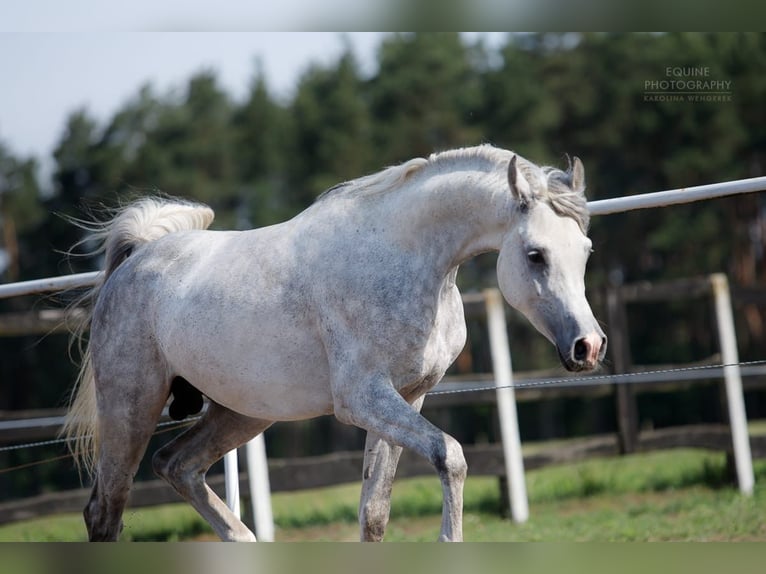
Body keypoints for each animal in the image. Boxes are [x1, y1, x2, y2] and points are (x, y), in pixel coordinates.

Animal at [64, 146, 608, 544]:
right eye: (535, 255)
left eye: (585, 250)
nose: (589, 347)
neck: (401, 258)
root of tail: (138, 259)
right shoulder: (363, 399)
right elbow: (450, 456)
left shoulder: (407, 398)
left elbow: (375, 513)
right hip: (131, 410)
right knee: (105, 511)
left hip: (243, 412)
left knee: (177, 466)